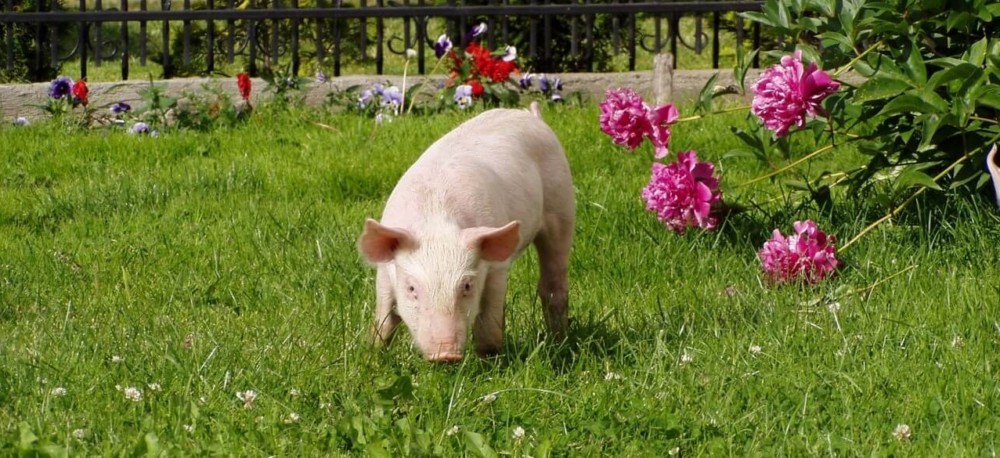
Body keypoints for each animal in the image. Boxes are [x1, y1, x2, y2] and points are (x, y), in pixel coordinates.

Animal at [362, 102, 580, 364]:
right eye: (412, 288)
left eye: (466, 285)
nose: (445, 354)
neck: (437, 220)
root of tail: (531, 115)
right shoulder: (385, 270)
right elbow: (384, 318)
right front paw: (373, 356)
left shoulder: (497, 267)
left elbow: (489, 323)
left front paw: (490, 361)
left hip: (562, 207)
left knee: (553, 282)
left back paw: (560, 342)